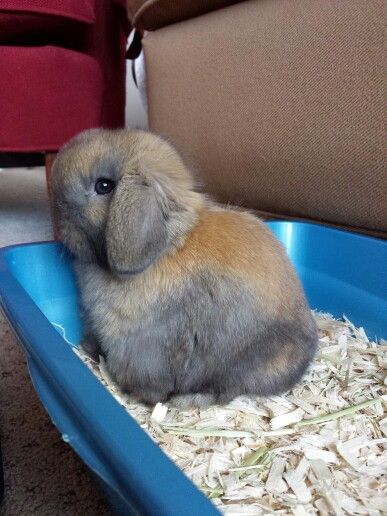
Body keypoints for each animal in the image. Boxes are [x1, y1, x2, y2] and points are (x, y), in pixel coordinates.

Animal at [51, 128, 318, 408]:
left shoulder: (143, 350)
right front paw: (88, 348)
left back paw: (186, 400)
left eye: (104, 186)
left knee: (227, 390)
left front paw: (136, 395)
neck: (165, 248)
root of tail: (305, 360)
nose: (57, 217)